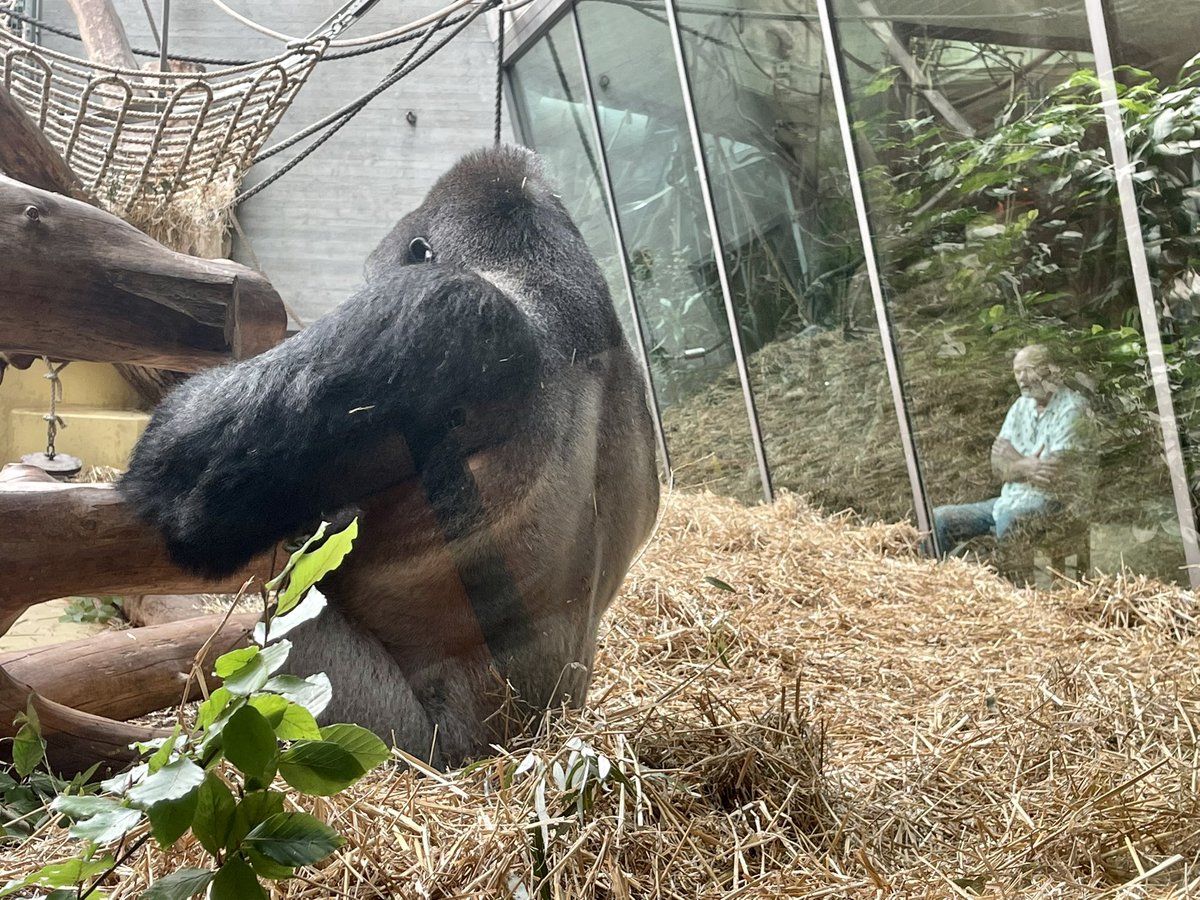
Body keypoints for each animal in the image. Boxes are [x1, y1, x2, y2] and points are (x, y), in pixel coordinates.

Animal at [120, 145, 660, 767]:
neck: (550, 288)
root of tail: (534, 739)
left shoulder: (439, 304)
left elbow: (187, 499)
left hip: (409, 744)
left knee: (290, 627)